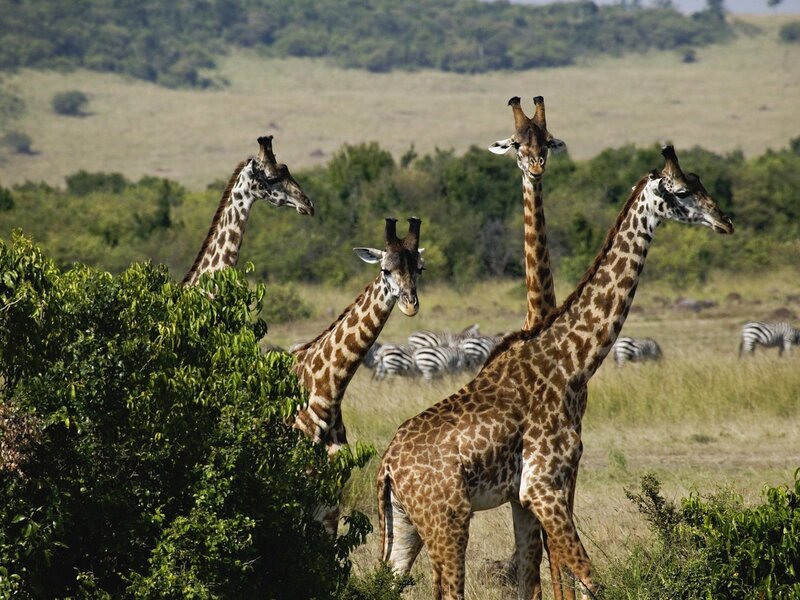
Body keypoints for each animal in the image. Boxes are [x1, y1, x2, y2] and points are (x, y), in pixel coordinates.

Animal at [377, 146, 733, 600]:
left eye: (701, 181)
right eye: (683, 191)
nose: (725, 221)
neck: (570, 362)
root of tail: (387, 467)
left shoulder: (523, 497)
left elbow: (532, 581)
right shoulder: (543, 486)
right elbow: (587, 575)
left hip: (405, 526)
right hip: (448, 519)